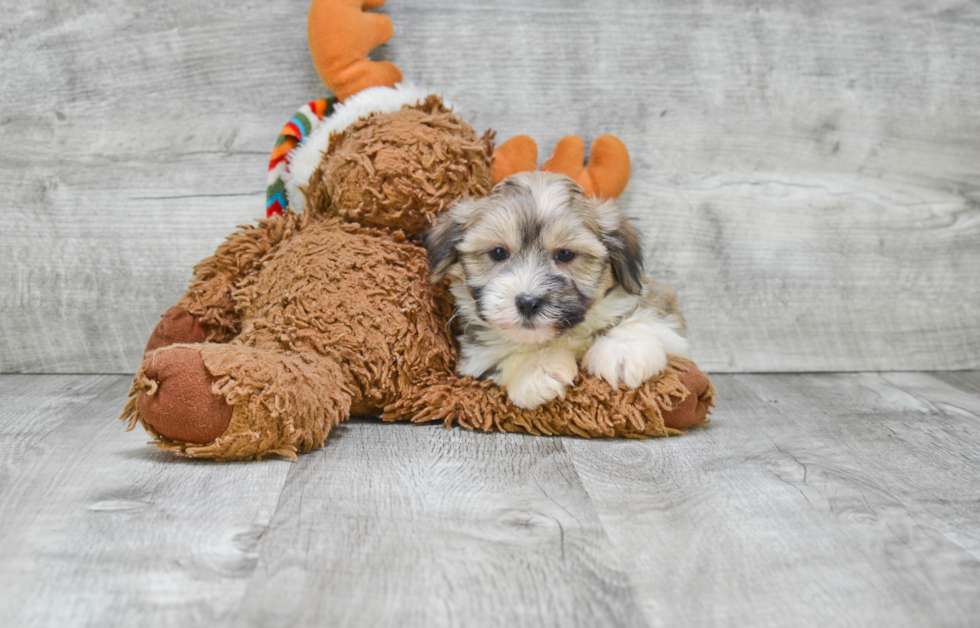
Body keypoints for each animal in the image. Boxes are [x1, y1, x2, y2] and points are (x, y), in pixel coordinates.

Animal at [422, 169, 688, 410]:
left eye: (565, 254)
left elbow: (647, 318)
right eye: (498, 252)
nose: (528, 302)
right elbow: (500, 355)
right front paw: (536, 367)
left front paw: (622, 350)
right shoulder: (475, 362)